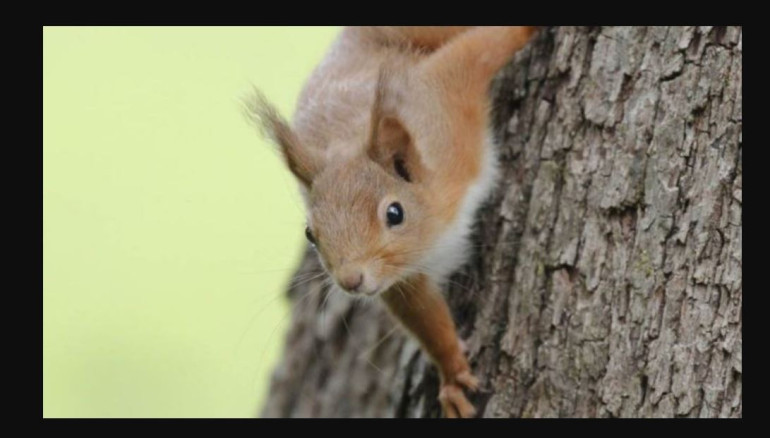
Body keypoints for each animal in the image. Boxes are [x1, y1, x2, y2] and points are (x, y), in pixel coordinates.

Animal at [248, 26, 538, 418]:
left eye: (394, 213)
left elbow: (481, 49)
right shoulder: (402, 277)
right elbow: (425, 318)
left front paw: (527, 30)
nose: (351, 281)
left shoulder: (446, 100)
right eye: (310, 233)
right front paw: (452, 375)